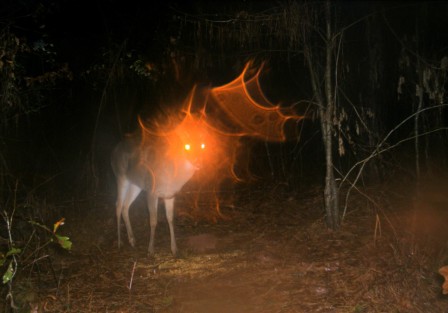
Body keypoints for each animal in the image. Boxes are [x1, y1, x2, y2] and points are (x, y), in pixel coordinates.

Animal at [111, 114, 211, 256]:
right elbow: (153, 221)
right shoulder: (151, 191)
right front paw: (150, 250)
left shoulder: (170, 195)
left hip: (136, 184)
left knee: (125, 206)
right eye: (187, 146)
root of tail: (114, 151)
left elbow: (170, 218)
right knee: (118, 205)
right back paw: (120, 242)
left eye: (203, 145)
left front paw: (174, 249)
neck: (172, 176)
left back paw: (132, 240)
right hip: (120, 176)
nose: (198, 162)